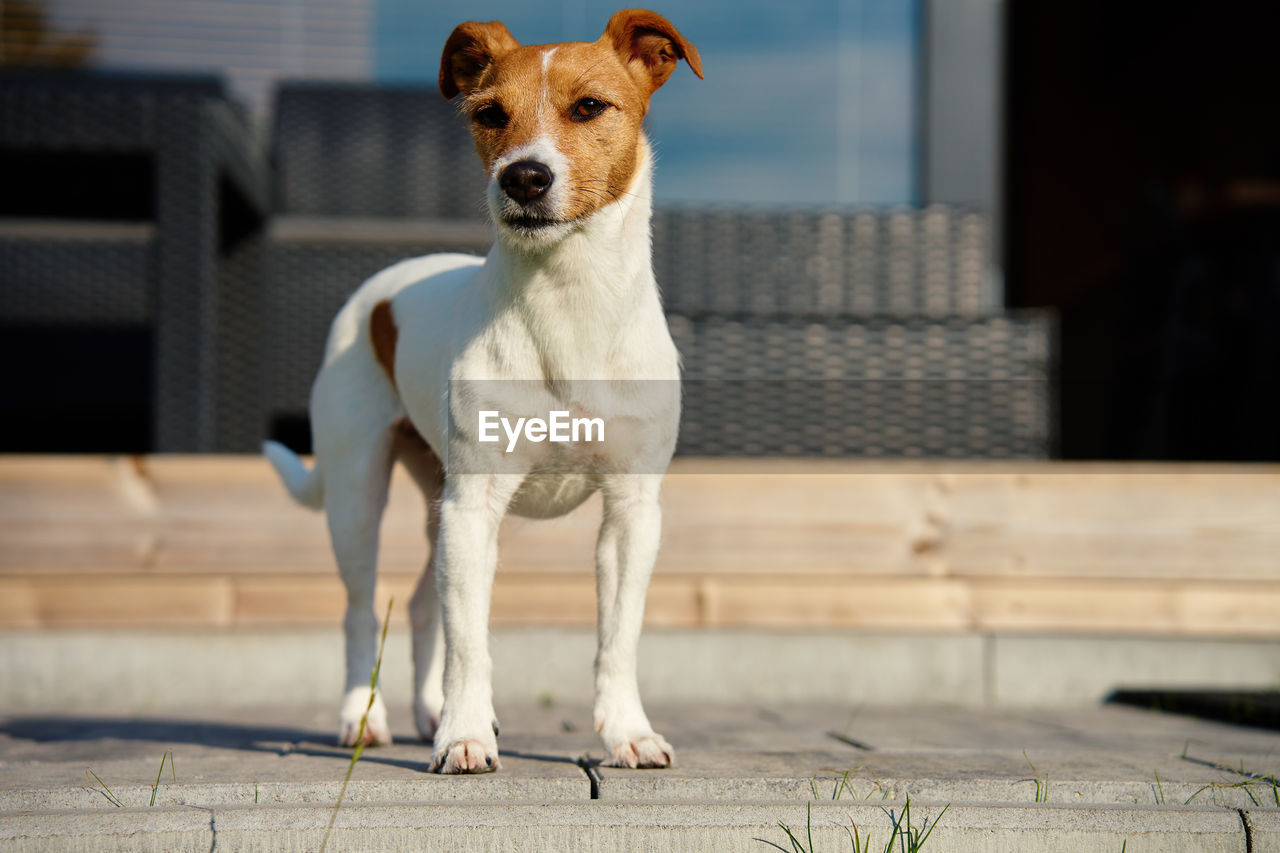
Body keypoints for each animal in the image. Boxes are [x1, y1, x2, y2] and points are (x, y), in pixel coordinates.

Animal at [259, 9, 701, 773]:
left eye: (589, 107)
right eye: (489, 114)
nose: (523, 176)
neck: (568, 301)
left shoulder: (630, 513)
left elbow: (617, 639)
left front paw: (627, 732)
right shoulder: (473, 508)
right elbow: (471, 643)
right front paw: (465, 735)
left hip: (434, 503)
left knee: (417, 605)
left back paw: (427, 710)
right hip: (358, 497)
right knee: (360, 607)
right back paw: (362, 717)